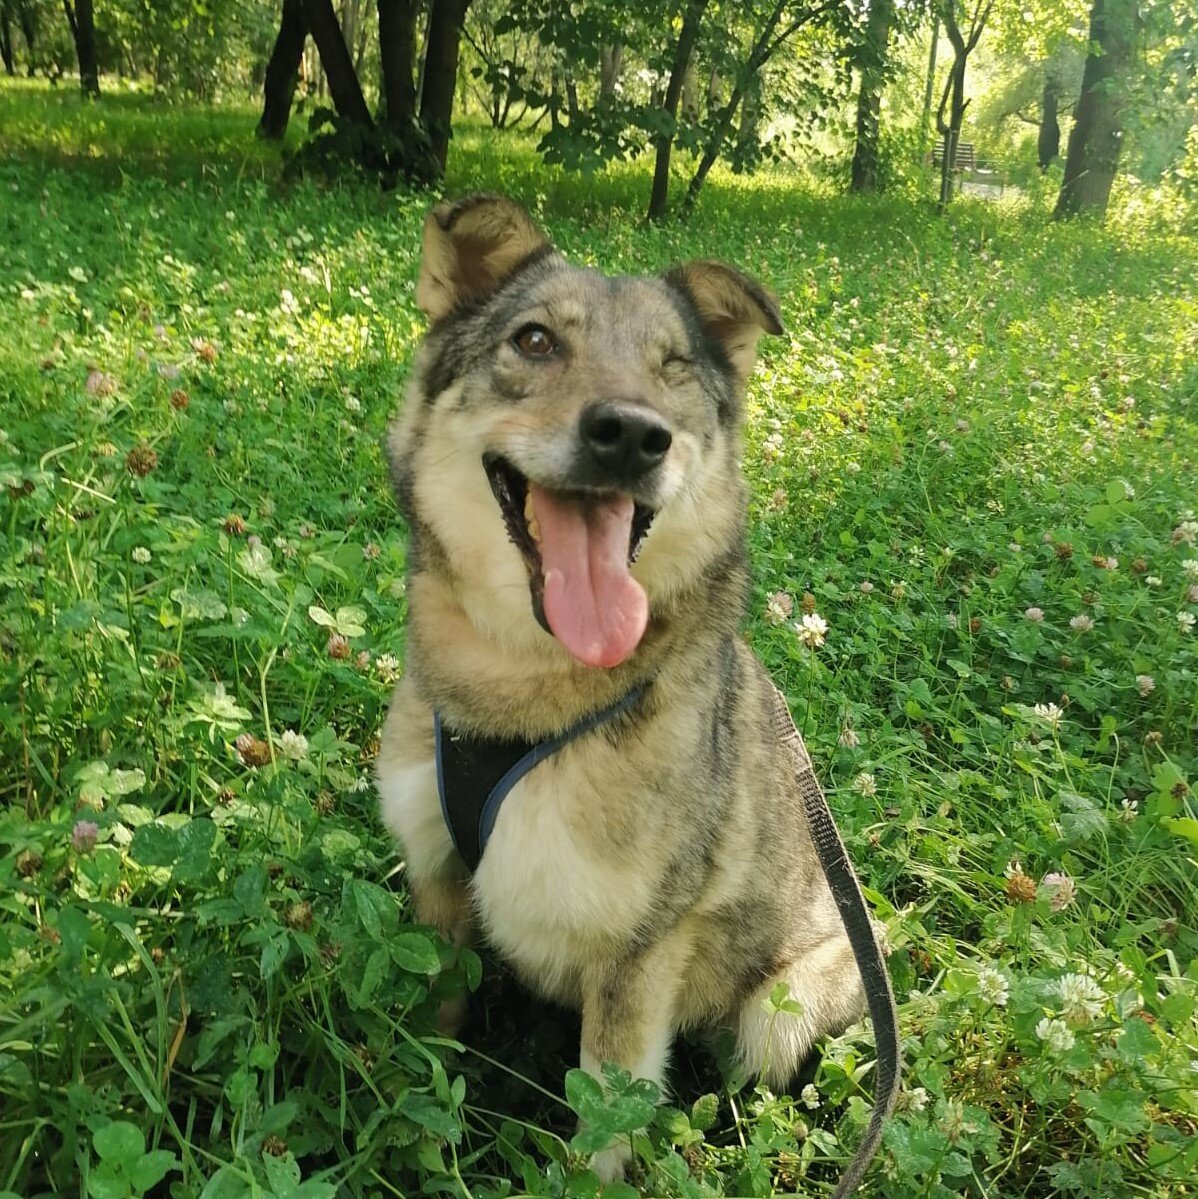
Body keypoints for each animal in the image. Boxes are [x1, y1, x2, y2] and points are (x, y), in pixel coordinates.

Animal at [378, 196, 868, 1179]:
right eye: (533, 340)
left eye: (674, 368)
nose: (636, 433)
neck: (521, 686)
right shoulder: (439, 884)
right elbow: (434, 1036)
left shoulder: (636, 958)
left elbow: (602, 1129)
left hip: (781, 1011)